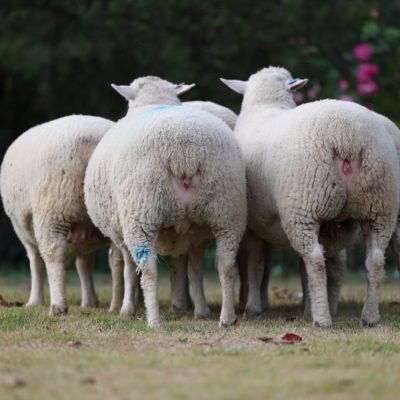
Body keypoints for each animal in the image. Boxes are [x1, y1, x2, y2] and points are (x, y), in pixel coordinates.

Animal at [0, 114, 114, 314]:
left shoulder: (23, 230)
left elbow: (36, 264)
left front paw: (35, 301)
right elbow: (84, 264)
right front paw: (90, 302)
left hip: (52, 211)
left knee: (52, 255)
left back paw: (58, 306)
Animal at [85, 75, 247, 328]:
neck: (155, 100)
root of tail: (186, 154)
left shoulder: (122, 232)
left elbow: (129, 270)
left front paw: (126, 310)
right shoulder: (197, 236)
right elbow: (195, 269)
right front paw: (202, 311)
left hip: (142, 214)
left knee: (149, 269)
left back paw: (154, 322)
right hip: (227, 210)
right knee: (226, 263)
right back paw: (227, 318)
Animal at [222, 66, 400, 328]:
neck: (267, 104)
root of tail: (347, 137)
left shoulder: (254, 225)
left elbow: (256, 265)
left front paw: (253, 308)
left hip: (305, 207)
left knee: (315, 259)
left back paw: (322, 320)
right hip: (379, 206)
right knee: (375, 260)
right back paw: (369, 317)